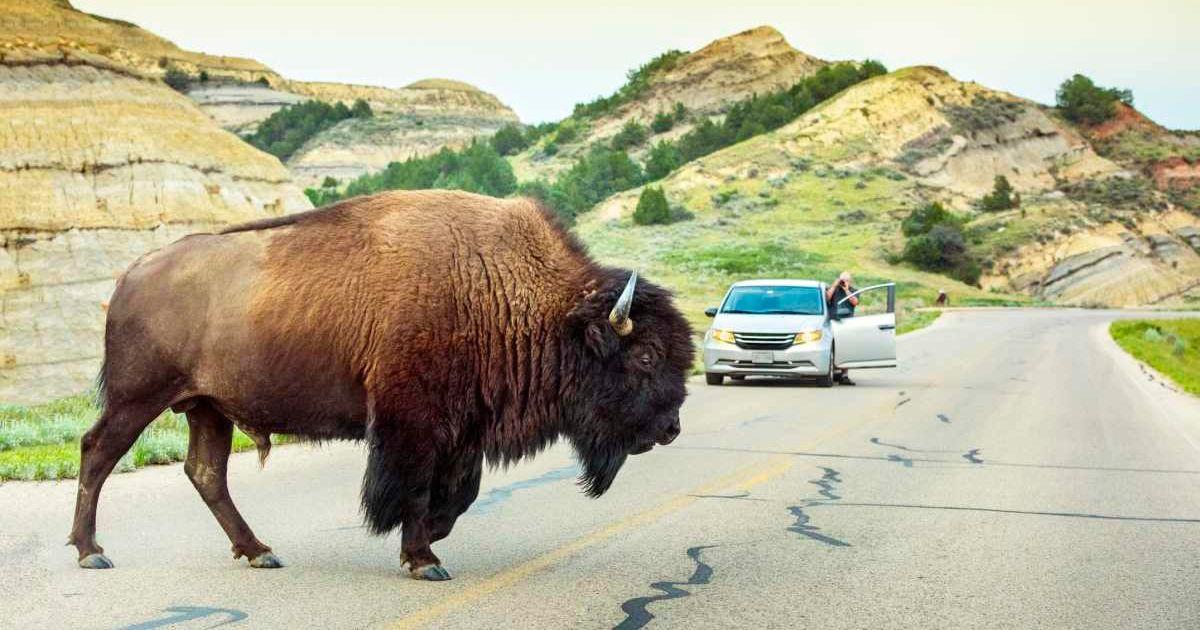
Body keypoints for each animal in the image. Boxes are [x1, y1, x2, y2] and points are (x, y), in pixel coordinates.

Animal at [68, 190, 694, 580]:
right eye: (645, 355)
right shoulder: (410, 423)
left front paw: (430, 540)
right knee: (98, 452)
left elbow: (460, 494)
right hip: (138, 397)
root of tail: (130, 275)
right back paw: (91, 552)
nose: (671, 428)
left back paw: (259, 552)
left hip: (207, 408)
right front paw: (423, 559)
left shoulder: (462, 428)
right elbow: (412, 487)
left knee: (206, 473)